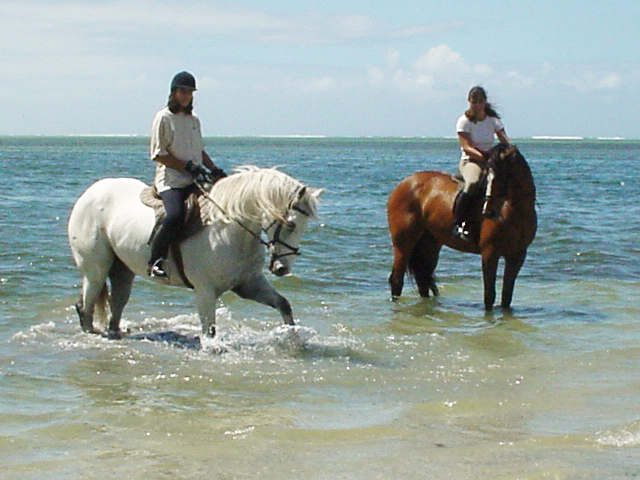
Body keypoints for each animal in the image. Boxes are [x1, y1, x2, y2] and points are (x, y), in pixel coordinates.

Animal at [68, 166, 323, 339]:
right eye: (290, 224)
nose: (282, 268)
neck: (230, 229)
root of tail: (89, 194)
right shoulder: (205, 291)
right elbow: (209, 331)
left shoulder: (248, 285)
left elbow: (283, 305)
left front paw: (294, 340)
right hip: (96, 270)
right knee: (86, 306)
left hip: (122, 269)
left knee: (117, 303)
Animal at [387, 144, 537, 310]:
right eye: (487, 176)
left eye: (503, 175)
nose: (488, 212)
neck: (515, 211)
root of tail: (404, 183)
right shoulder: (490, 253)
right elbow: (489, 295)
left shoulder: (517, 255)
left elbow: (506, 296)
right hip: (403, 244)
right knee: (397, 279)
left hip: (429, 244)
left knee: (423, 279)